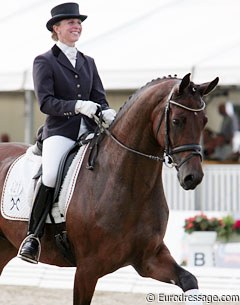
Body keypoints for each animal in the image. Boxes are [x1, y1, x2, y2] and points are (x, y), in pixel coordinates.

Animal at [0, 73, 218, 302]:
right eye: (177, 121)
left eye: (204, 121)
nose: (193, 177)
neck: (129, 186)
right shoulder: (87, 269)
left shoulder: (149, 258)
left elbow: (189, 279)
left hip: (5, 246)